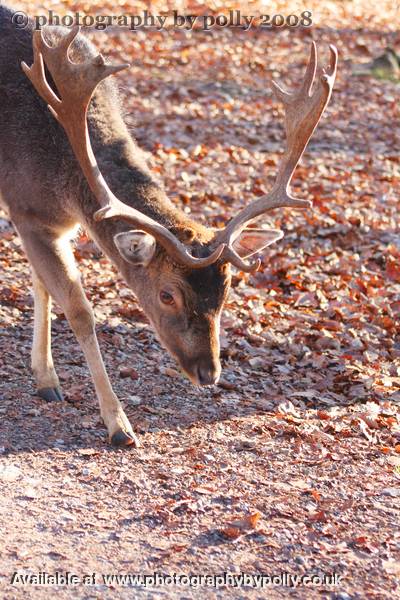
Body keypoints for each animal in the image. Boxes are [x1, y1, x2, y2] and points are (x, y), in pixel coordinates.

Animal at [0, 4, 338, 446]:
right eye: (166, 295)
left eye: (226, 290)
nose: (209, 373)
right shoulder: (26, 207)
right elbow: (79, 310)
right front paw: (119, 425)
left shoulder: (57, 226)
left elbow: (42, 286)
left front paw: (45, 379)